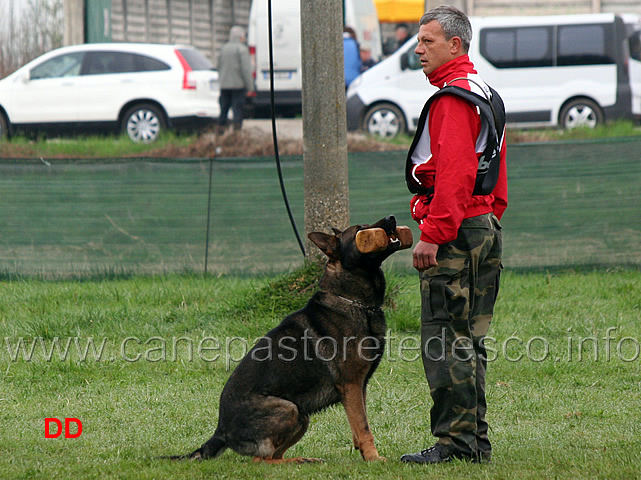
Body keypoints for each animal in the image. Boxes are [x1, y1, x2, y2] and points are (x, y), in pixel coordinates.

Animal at [170, 216, 410, 464]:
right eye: (360, 230)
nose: (392, 218)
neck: (353, 301)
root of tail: (220, 431)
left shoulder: (359, 387)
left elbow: (358, 424)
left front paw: (363, 453)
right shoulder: (351, 384)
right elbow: (364, 427)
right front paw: (374, 459)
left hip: (302, 416)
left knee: (275, 455)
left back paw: (303, 460)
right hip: (290, 409)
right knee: (261, 461)